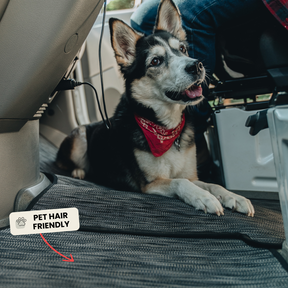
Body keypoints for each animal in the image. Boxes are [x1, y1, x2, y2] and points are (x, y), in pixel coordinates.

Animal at [56, 0, 254, 216]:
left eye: (182, 49)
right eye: (156, 61)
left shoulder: (192, 176)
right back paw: (79, 170)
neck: (166, 129)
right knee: (63, 162)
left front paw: (234, 197)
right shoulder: (150, 184)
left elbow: (212, 184)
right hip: (79, 137)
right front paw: (203, 197)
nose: (197, 66)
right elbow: (180, 182)